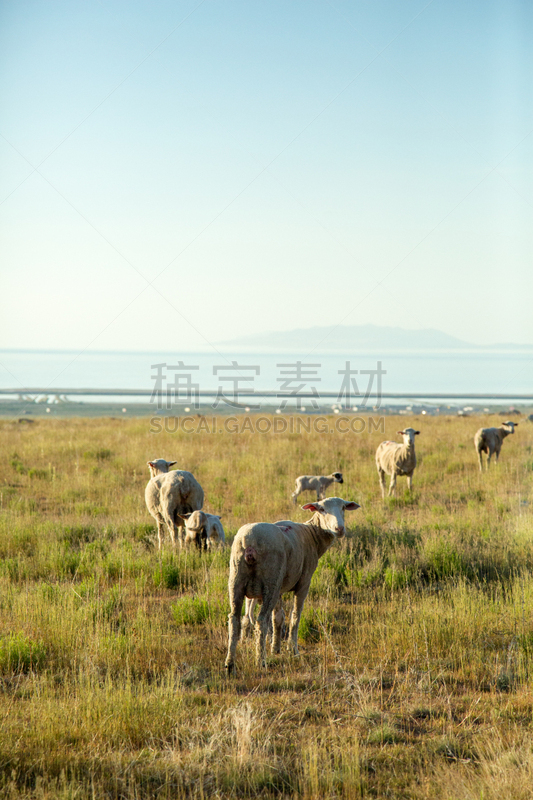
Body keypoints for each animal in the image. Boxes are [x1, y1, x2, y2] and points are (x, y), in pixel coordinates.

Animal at [222, 496, 360, 672]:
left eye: (343, 507)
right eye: (322, 509)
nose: (339, 528)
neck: (312, 535)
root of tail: (249, 541)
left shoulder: (280, 586)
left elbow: (278, 618)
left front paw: (276, 648)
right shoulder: (304, 581)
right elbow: (295, 615)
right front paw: (292, 649)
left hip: (236, 578)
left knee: (234, 619)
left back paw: (230, 664)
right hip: (271, 580)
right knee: (261, 621)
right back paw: (261, 661)